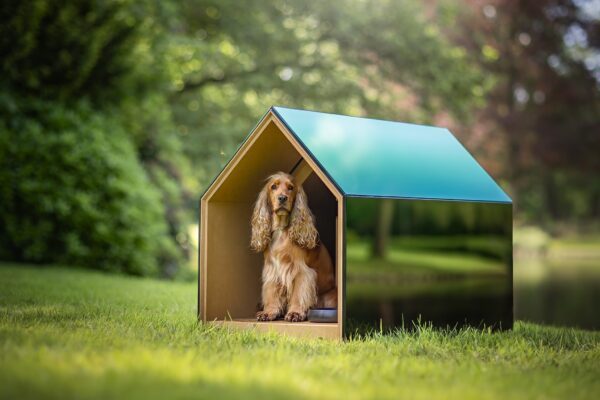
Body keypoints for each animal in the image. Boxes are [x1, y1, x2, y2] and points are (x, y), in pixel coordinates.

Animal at [250, 172, 338, 322]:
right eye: (273, 187)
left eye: (290, 188)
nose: (282, 198)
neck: (281, 229)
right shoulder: (272, 269)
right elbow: (272, 291)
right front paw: (269, 312)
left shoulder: (301, 270)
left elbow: (298, 293)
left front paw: (295, 313)